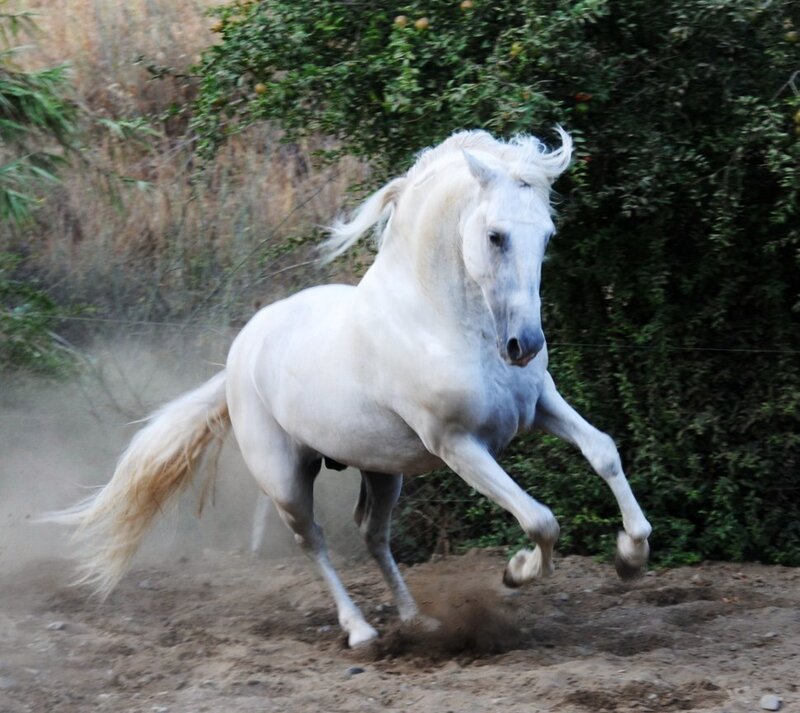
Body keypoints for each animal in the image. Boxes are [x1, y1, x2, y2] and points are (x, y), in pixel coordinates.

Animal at [45, 129, 652, 648]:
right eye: (495, 236)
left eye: (546, 235)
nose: (523, 344)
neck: (443, 322)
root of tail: (242, 350)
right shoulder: (458, 446)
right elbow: (540, 519)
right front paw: (517, 572)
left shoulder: (539, 403)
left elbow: (603, 451)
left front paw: (631, 554)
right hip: (285, 476)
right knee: (312, 540)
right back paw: (361, 631)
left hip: (382, 470)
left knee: (372, 534)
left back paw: (417, 621)